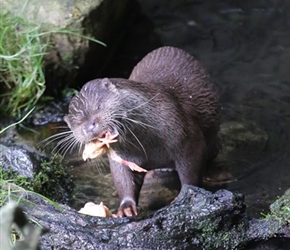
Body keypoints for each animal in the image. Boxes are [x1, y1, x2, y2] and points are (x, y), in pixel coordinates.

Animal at [63, 46, 221, 217]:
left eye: (98, 106)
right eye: (77, 123)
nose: (88, 126)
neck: (150, 145)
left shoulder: (188, 137)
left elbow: (190, 173)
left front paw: (183, 198)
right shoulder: (123, 159)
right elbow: (124, 180)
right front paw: (126, 208)